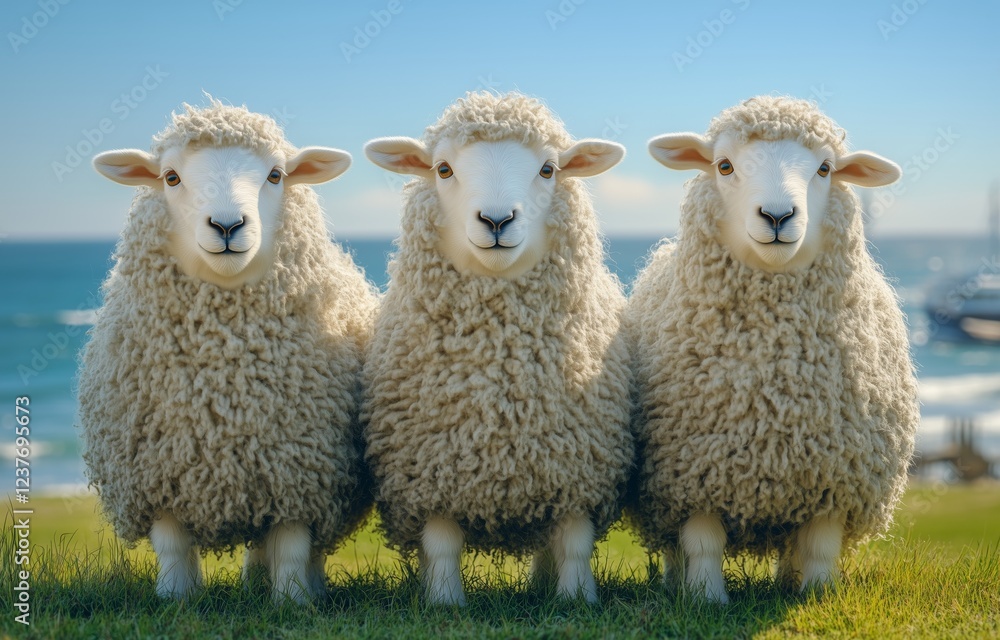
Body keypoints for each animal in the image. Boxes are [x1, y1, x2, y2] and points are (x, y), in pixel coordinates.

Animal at [78, 100, 379, 603]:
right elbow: (172, 547)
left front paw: (292, 603)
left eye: (276, 175)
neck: (225, 376)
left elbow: (292, 547)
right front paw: (174, 599)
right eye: (171, 177)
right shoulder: (157, 475)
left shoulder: (298, 475)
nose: (226, 225)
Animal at [361, 91, 634, 605]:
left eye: (548, 169)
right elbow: (442, 544)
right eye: (443, 169)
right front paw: (444, 601)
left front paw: (576, 600)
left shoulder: (577, 471)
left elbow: (574, 543)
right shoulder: (432, 471)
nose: (496, 220)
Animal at [627, 96, 919, 604]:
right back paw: (676, 586)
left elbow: (820, 546)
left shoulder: (833, 477)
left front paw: (818, 598)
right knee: (675, 550)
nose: (778, 217)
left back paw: (789, 583)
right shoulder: (694, 472)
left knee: (793, 546)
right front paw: (705, 600)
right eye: (724, 165)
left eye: (825, 168)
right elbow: (703, 543)